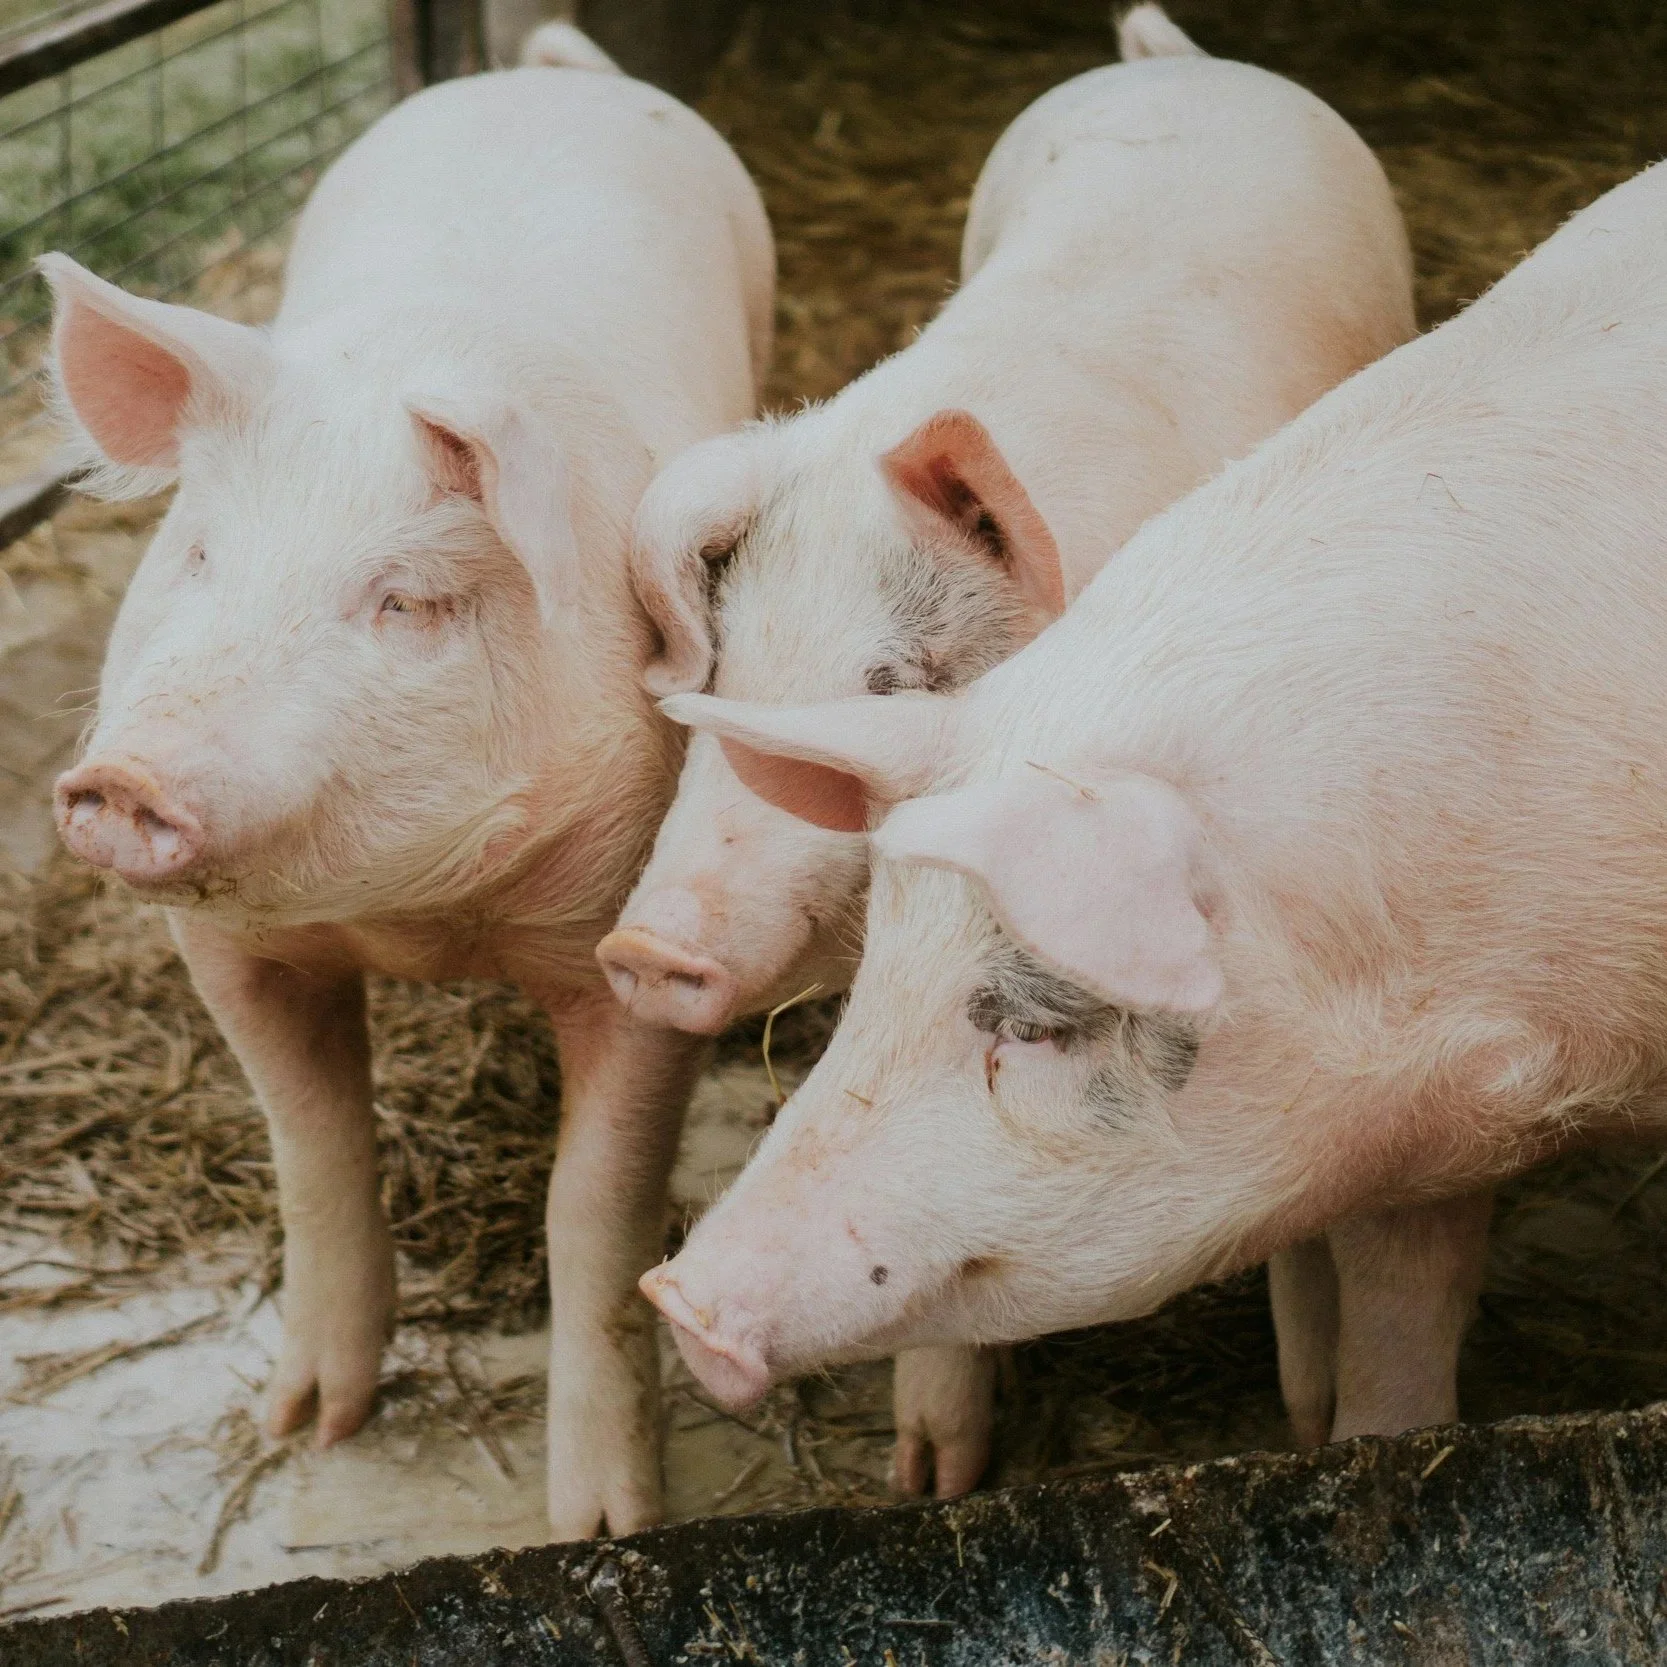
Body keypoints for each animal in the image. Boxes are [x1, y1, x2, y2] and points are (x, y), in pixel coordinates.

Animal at [44, 33, 773, 1539]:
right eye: (196, 553)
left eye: (409, 600)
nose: (126, 776)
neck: (417, 920)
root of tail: (542, 67)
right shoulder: (224, 946)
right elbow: (312, 1142)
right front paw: (307, 1425)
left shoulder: (634, 935)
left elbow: (595, 1208)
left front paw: (602, 1522)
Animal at [599, 3, 1415, 1490]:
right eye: (728, 667)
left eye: (893, 675)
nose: (640, 948)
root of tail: (1170, 60)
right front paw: (929, 1476)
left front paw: (1310, 1415)